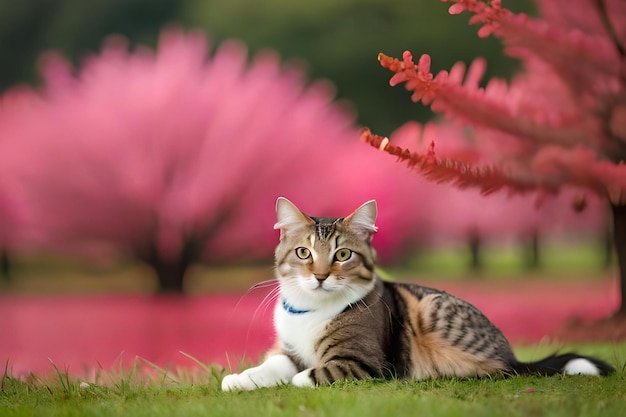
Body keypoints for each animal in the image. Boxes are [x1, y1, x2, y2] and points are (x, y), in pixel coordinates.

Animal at [221, 197, 616, 388]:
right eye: (304, 253)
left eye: (342, 255)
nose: (319, 276)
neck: (310, 310)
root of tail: (512, 354)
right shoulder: (289, 351)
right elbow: (272, 366)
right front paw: (240, 379)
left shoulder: (364, 363)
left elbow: (309, 375)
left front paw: (295, 380)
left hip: (433, 311)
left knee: (500, 371)